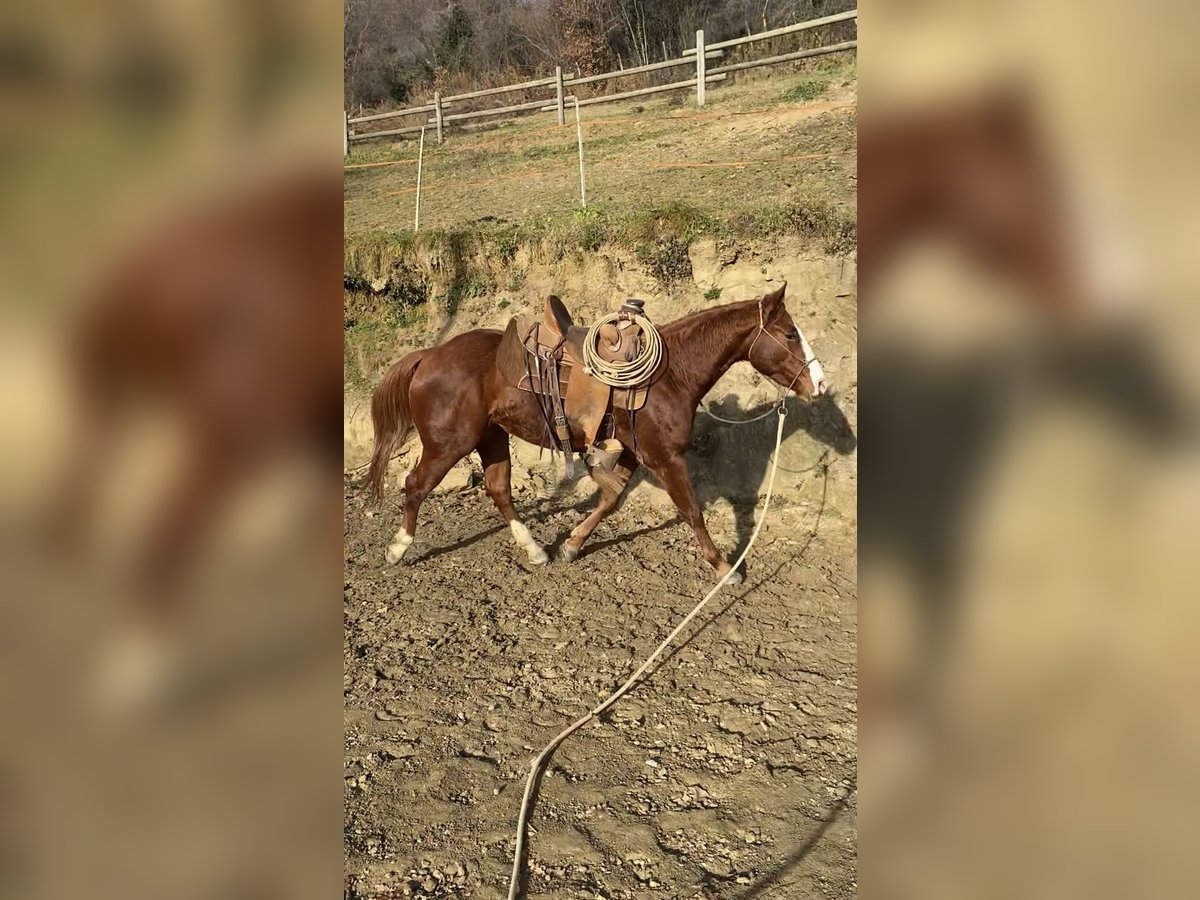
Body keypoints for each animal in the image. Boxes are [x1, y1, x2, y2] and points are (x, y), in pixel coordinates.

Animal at [364, 289, 825, 585]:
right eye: (789, 334)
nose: (819, 384)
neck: (671, 374)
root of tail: (428, 355)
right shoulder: (666, 457)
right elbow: (692, 511)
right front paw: (724, 569)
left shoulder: (638, 453)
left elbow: (610, 499)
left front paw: (572, 545)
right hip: (448, 444)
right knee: (415, 485)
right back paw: (398, 548)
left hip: (491, 438)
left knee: (498, 490)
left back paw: (536, 551)